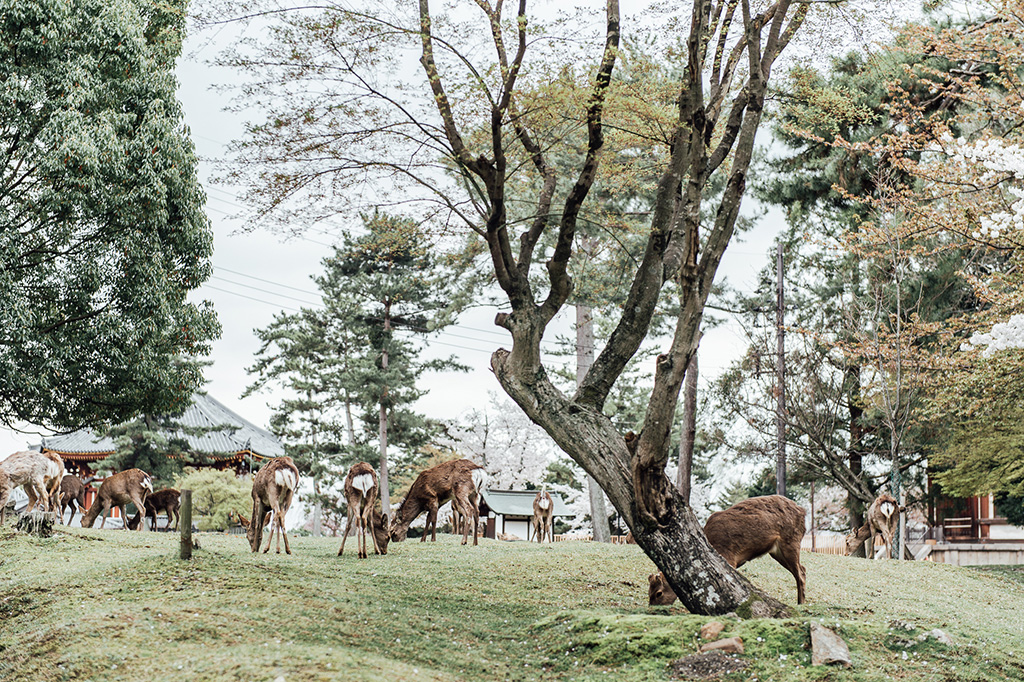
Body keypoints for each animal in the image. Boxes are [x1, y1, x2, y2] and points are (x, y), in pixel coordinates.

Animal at [647, 491, 806, 602]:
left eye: (658, 593)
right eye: (649, 592)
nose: (653, 608)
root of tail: (803, 512)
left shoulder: (729, 556)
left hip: (791, 541)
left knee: (801, 573)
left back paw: (801, 603)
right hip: (776, 551)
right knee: (802, 569)